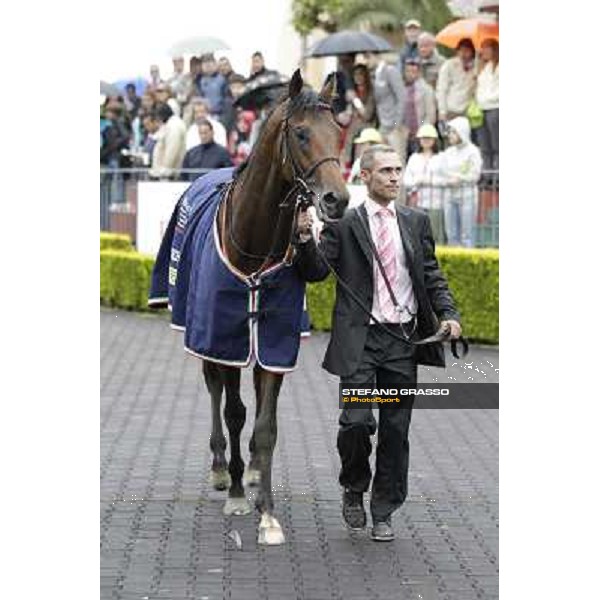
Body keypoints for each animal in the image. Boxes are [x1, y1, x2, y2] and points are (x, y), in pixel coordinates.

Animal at [198, 69, 346, 544]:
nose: (337, 199)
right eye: (300, 133)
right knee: (213, 390)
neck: (254, 242)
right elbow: (235, 412)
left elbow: (266, 427)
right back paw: (222, 469)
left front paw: (268, 515)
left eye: (338, 131)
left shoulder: (273, 343)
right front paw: (237, 495)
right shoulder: (226, 337)